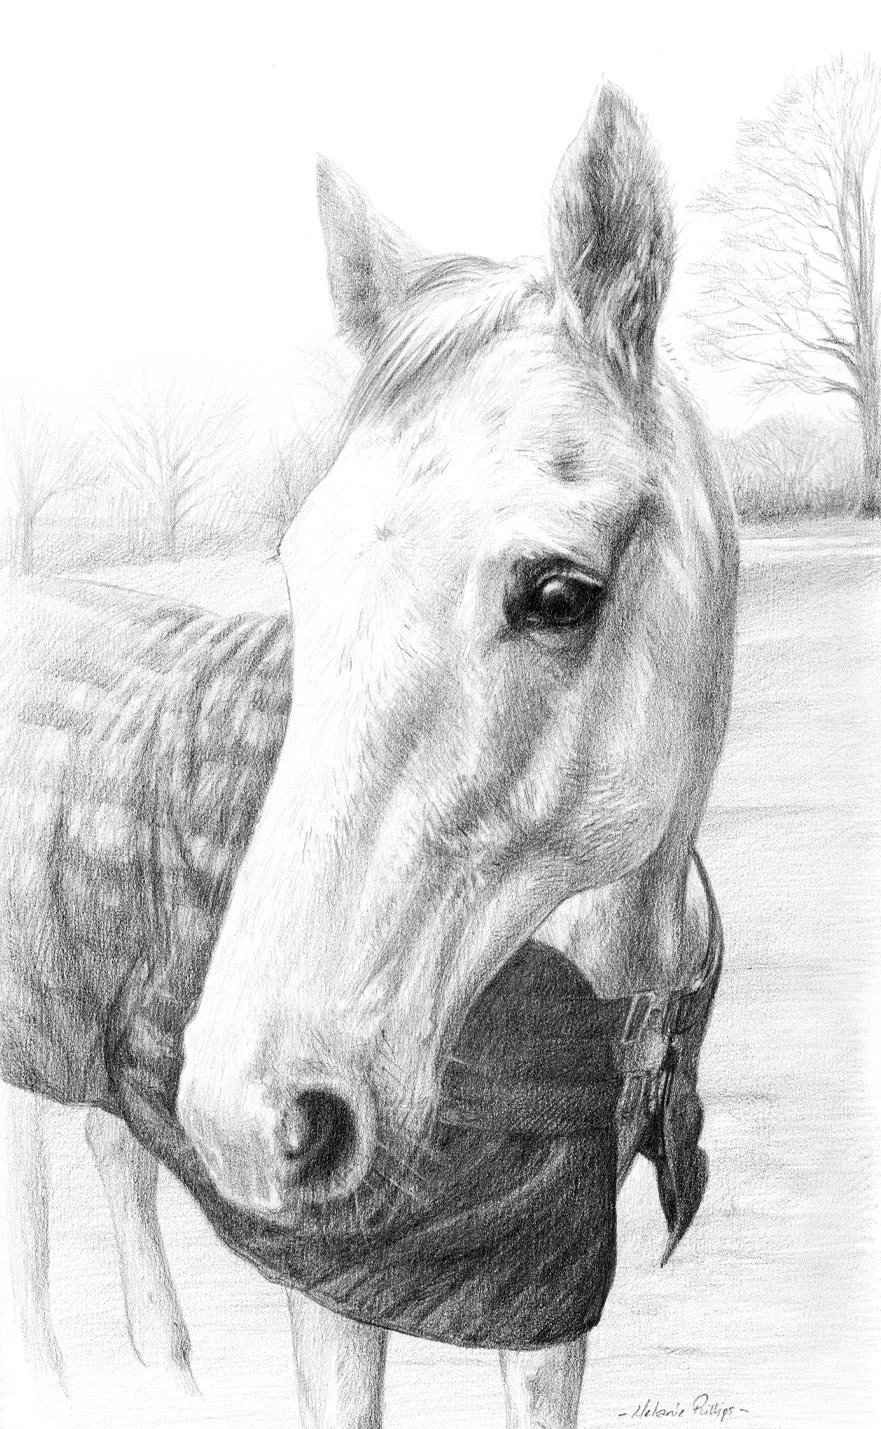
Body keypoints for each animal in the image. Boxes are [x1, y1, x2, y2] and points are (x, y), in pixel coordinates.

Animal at [1, 82, 738, 1429]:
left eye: (558, 592)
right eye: (300, 568)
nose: (251, 1120)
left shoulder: (547, 1287)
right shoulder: (333, 1287)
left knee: (104, 1148)